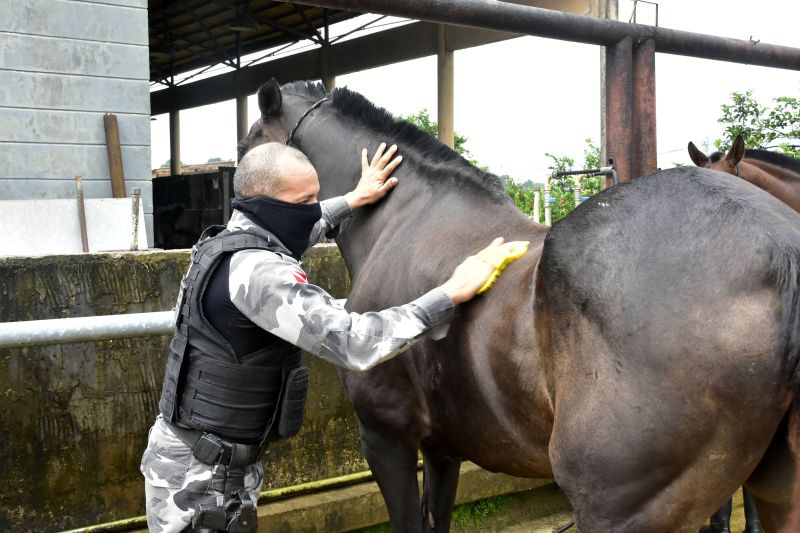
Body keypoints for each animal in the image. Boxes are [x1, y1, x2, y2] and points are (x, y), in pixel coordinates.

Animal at [241, 80, 800, 532]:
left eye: (247, 142)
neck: (402, 220)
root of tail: (781, 253)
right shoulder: (441, 447)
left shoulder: (387, 437)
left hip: (620, 505)